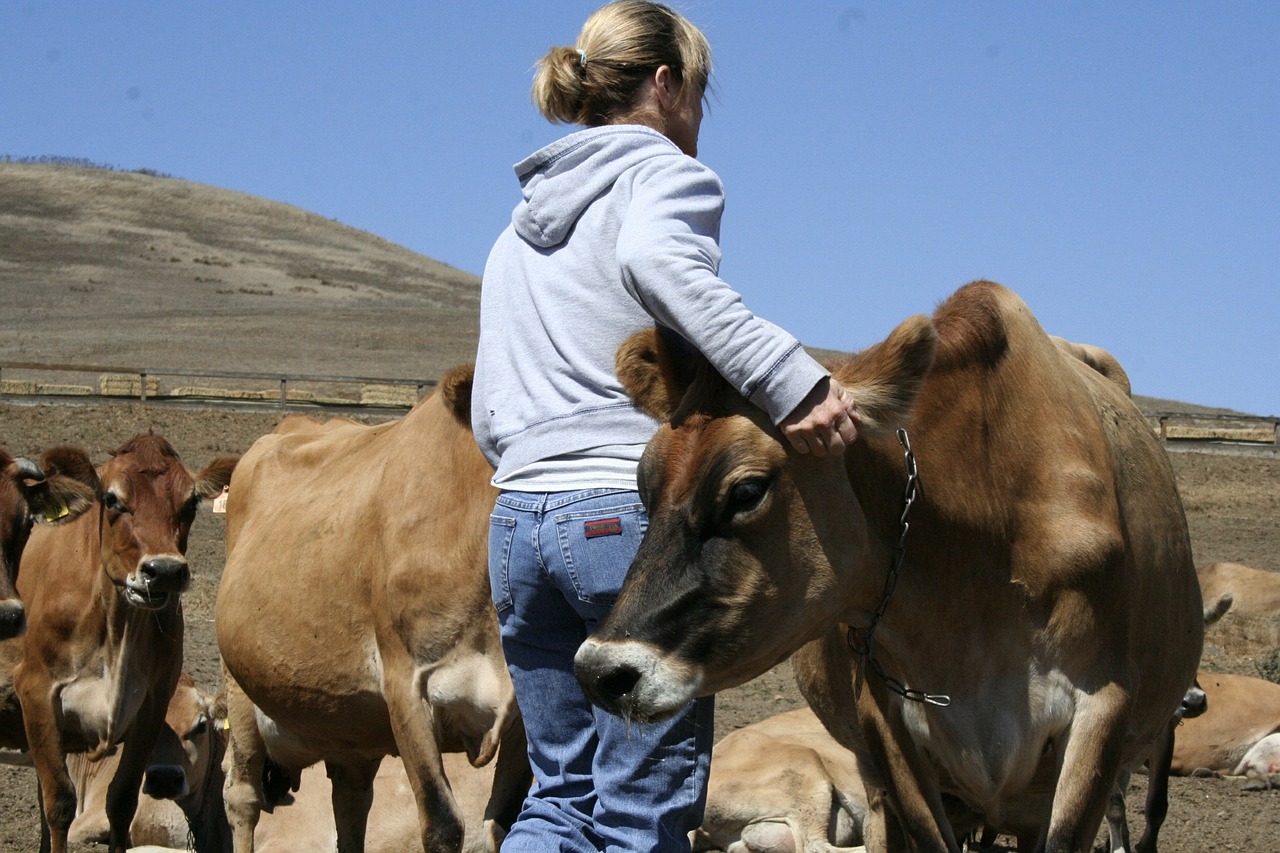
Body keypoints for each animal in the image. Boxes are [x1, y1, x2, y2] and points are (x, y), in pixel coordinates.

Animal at [217, 363, 527, 850]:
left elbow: (506, 823)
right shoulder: (406, 685)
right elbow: (442, 823)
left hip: (350, 730)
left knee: (350, 802)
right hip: (238, 689)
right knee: (242, 797)